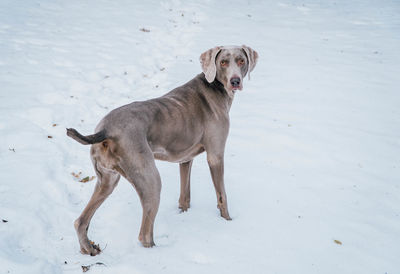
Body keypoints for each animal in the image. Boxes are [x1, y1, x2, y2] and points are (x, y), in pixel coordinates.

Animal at [67, 44, 258, 256]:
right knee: (144, 234)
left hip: (107, 179)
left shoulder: (186, 158)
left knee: (80, 221)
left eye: (241, 60)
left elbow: (185, 195)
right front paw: (228, 221)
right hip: (149, 178)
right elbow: (222, 195)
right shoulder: (215, 156)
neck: (215, 85)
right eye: (223, 62)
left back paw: (88, 248)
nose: (235, 81)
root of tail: (105, 130)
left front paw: (184, 213)